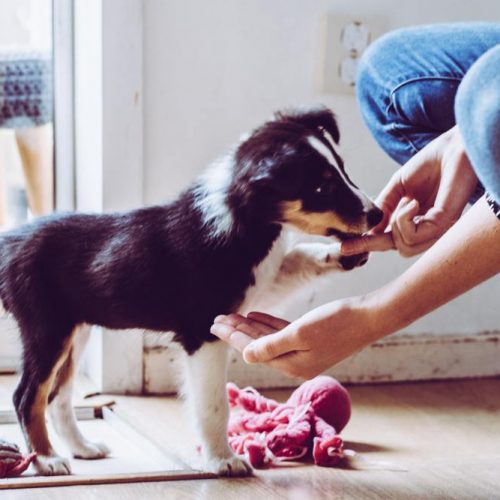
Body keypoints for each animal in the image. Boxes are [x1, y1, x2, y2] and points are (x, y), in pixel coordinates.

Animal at [0, 106, 382, 476]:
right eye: (320, 189)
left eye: (343, 170)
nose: (377, 215)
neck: (243, 219)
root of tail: (10, 242)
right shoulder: (204, 333)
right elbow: (214, 405)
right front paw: (223, 461)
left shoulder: (255, 287)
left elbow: (298, 258)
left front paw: (343, 254)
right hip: (47, 329)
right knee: (27, 396)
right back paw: (47, 459)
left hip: (75, 330)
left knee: (57, 395)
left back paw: (82, 448)